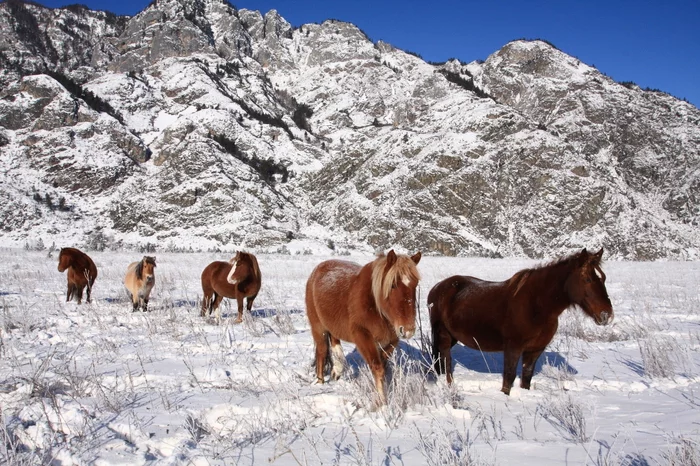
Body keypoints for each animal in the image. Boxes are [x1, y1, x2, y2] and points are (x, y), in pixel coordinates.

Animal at [304, 249, 422, 406]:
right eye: (393, 285)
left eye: (415, 285)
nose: (408, 330)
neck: (375, 306)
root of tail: (316, 270)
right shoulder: (362, 336)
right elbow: (377, 367)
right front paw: (381, 402)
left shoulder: (390, 341)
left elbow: (383, 366)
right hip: (318, 327)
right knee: (322, 352)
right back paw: (320, 382)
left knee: (335, 341)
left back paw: (337, 370)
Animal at [426, 249, 612, 396]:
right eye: (587, 279)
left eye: (603, 278)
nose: (607, 315)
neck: (536, 306)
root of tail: (437, 288)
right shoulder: (513, 348)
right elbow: (508, 378)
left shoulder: (534, 350)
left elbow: (526, 378)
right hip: (443, 335)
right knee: (446, 361)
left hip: (452, 337)